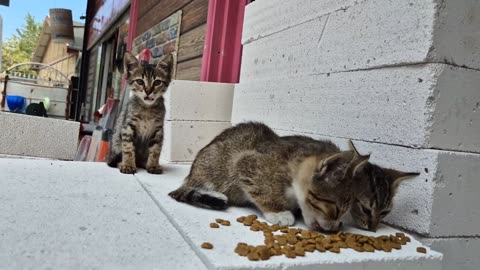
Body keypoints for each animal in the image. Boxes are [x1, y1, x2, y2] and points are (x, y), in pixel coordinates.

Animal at [169, 122, 368, 232]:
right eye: (335, 209)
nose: (336, 227)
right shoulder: (245, 162)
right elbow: (261, 189)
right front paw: (278, 212)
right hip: (212, 164)